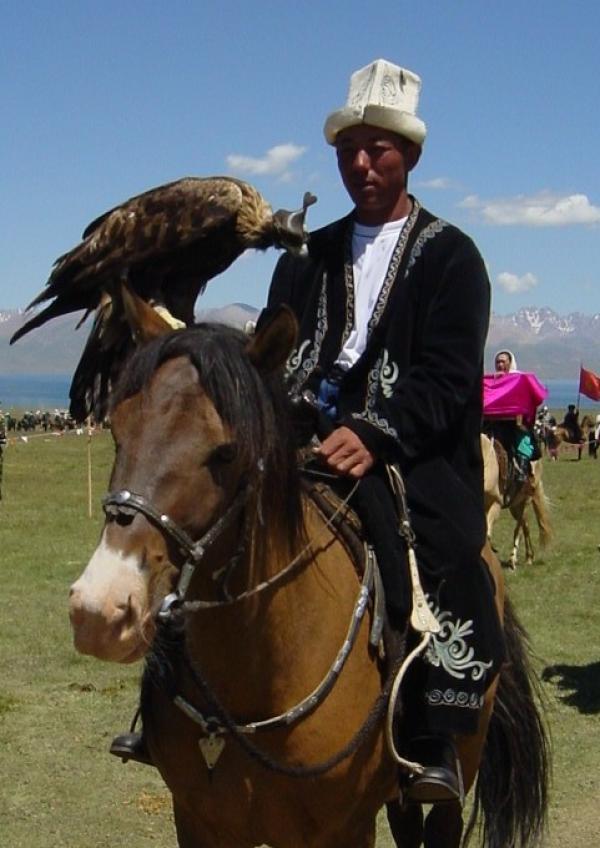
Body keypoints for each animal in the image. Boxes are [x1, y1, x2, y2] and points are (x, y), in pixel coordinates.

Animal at [482, 434, 552, 568]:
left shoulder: (496, 505)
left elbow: (487, 534)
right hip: (515, 506)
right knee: (526, 526)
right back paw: (528, 557)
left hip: (525, 501)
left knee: (519, 529)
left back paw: (513, 560)